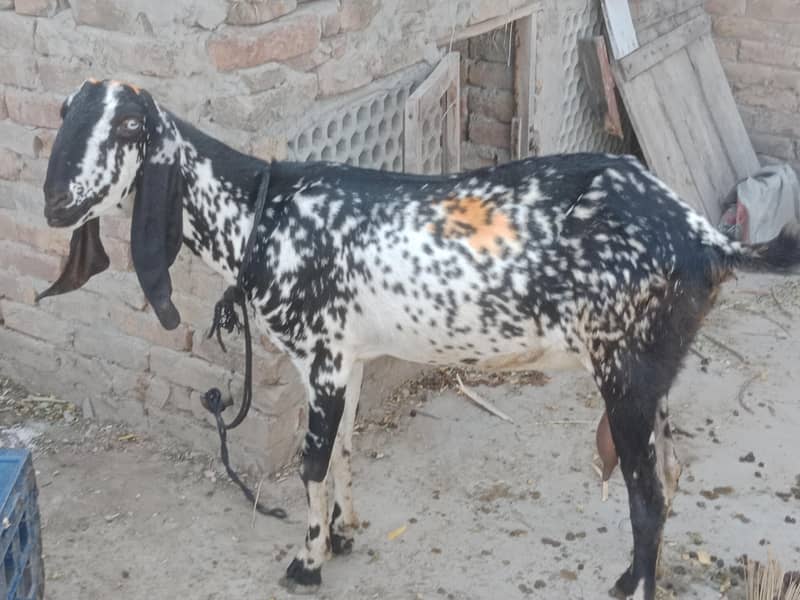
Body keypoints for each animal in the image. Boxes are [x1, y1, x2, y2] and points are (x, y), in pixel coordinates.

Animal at [39, 80, 800, 599]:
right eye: (63, 115)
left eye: (128, 125)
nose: (54, 202)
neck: (264, 214)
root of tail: (704, 237)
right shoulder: (347, 359)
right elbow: (344, 449)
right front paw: (343, 533)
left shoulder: (321, 359)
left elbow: (310, 464)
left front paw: (306, 562)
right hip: (652, 370)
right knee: (669, 476)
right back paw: (628, 578)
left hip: (627, 369)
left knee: (646, 494)